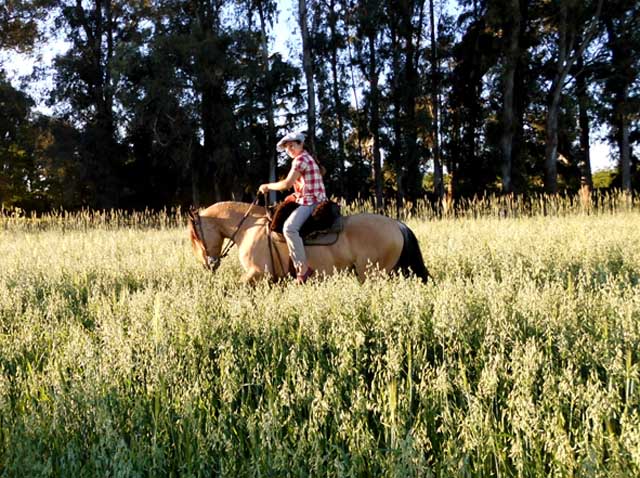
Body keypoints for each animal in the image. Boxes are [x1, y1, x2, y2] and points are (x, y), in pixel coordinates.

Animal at [189, 201, 430, 286]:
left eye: (195, 237)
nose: (209, 264)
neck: (249, 227)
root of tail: (396, 224)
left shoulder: (257, 273)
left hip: (372, 274)